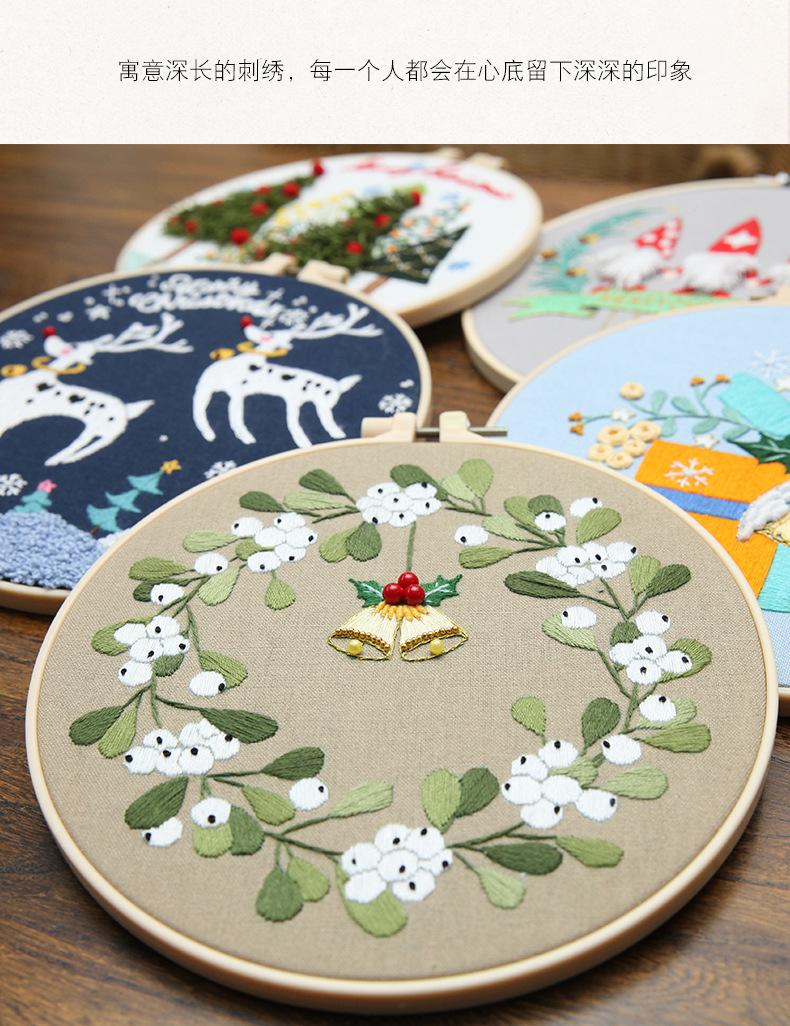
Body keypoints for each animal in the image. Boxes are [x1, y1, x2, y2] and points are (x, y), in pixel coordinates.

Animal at [0, 313, 192, 465]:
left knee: (87, 445)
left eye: (76, 346)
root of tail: (125, 410)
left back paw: (57, 459)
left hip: (101, 431)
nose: (51, 337)